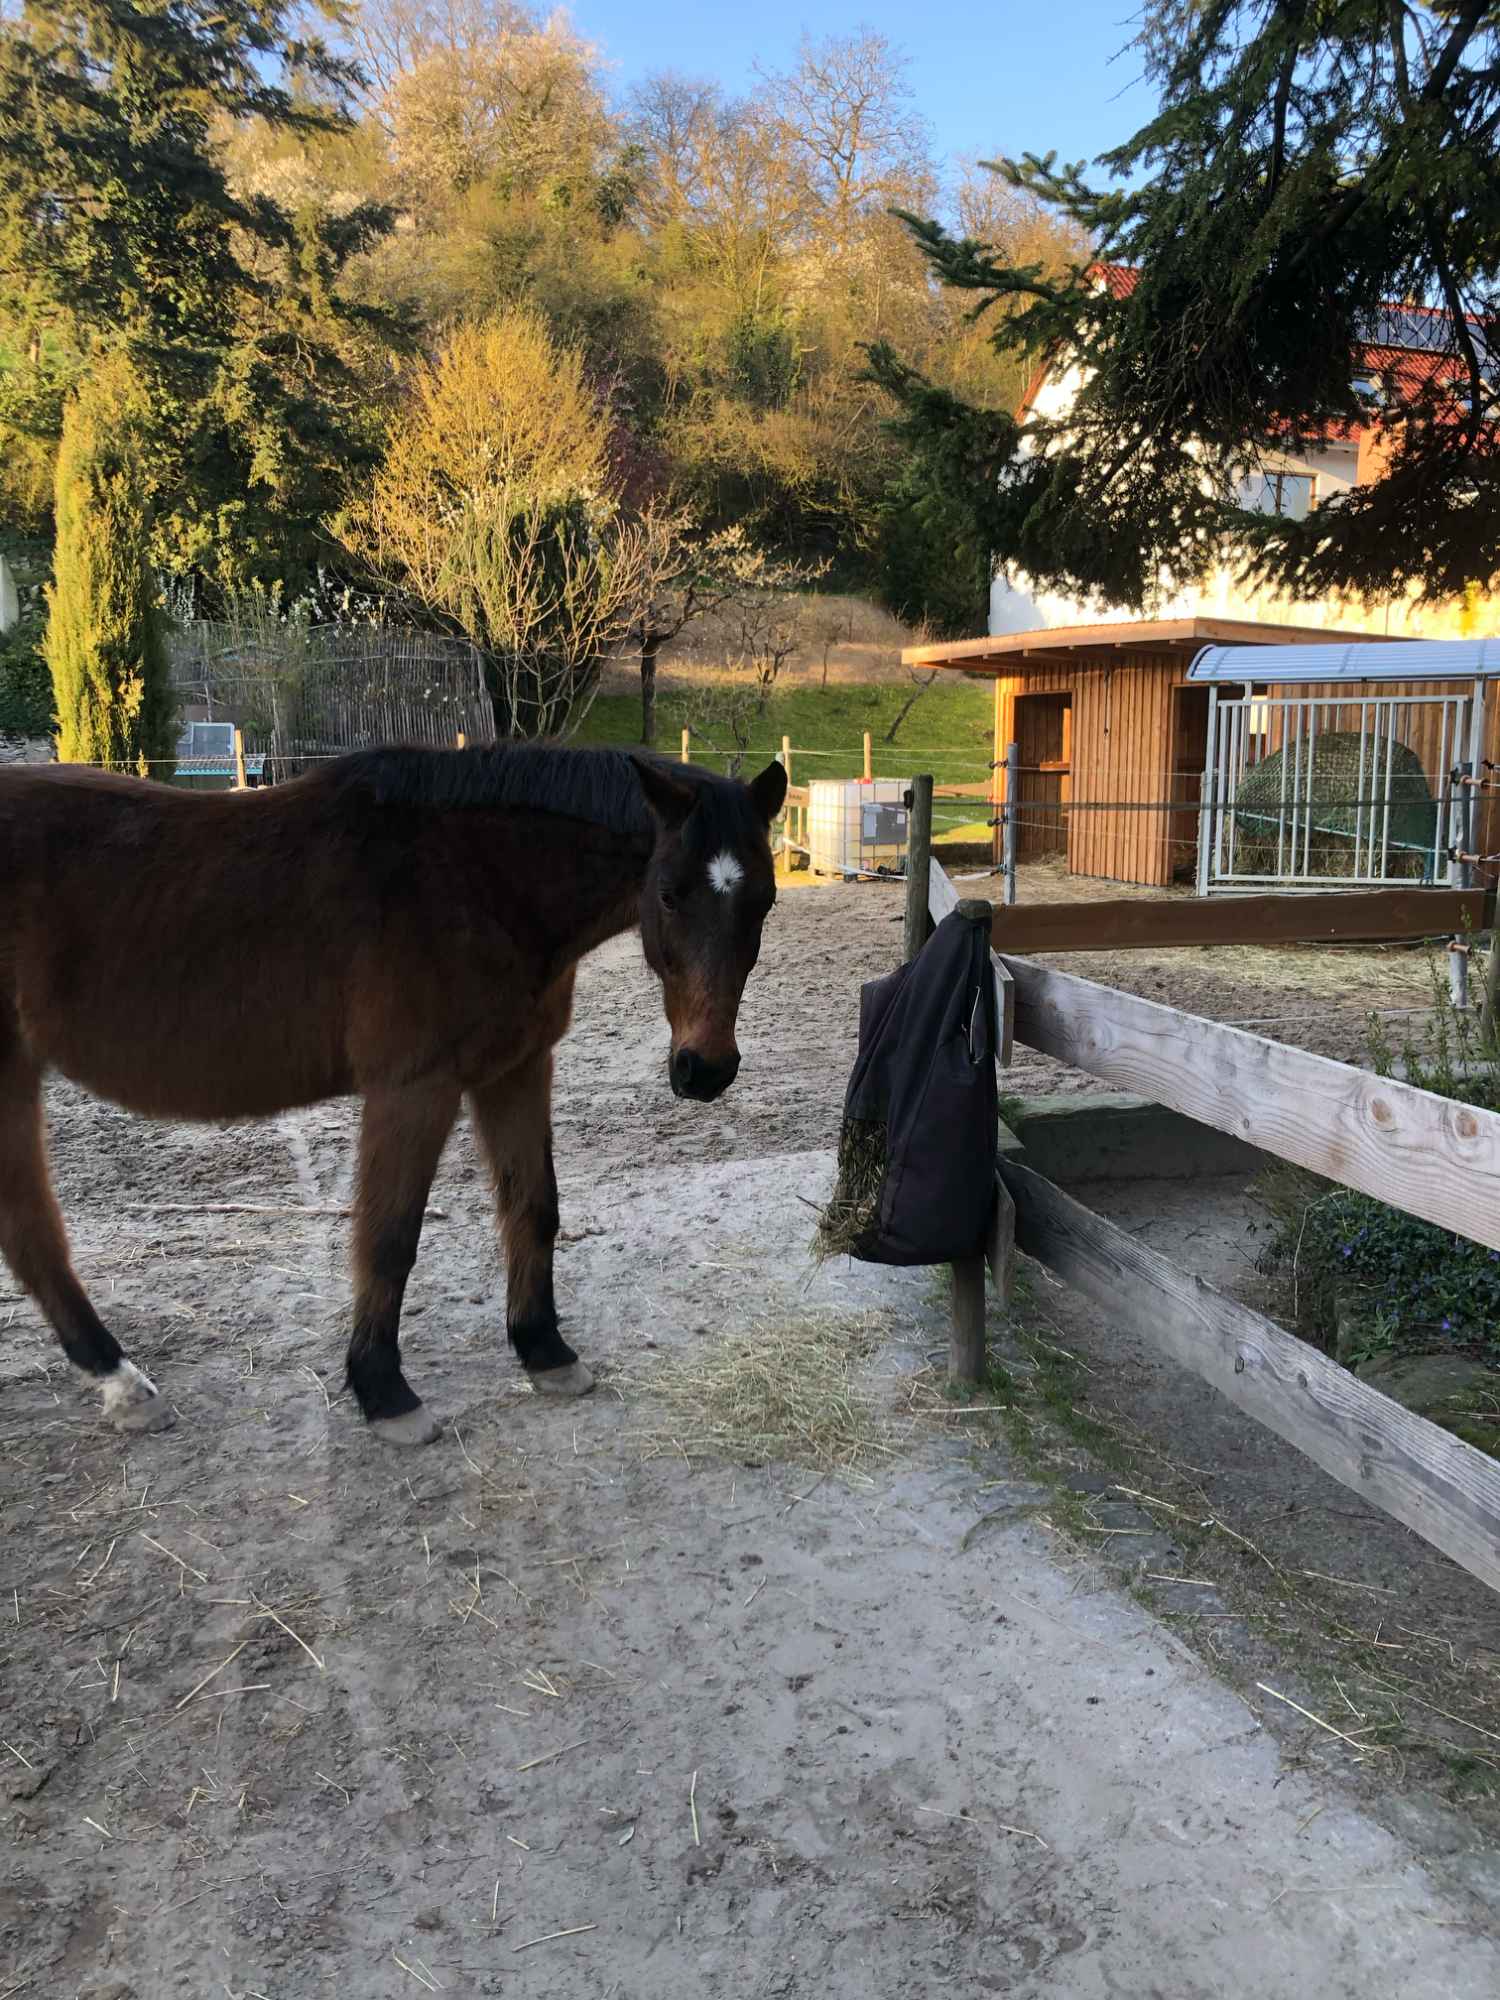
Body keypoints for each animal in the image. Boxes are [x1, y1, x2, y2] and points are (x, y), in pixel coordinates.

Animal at [0, 743, 787, 1444]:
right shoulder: (415, 1087)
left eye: (765, 901)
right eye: (669, 895)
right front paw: (383, 1392)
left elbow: (532, 1207)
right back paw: (124, 1382)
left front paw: (543, 1351)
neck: (473, 878)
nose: (706, 1070)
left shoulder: (517, 1068)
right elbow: (388, 1237)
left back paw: (123, 1387)